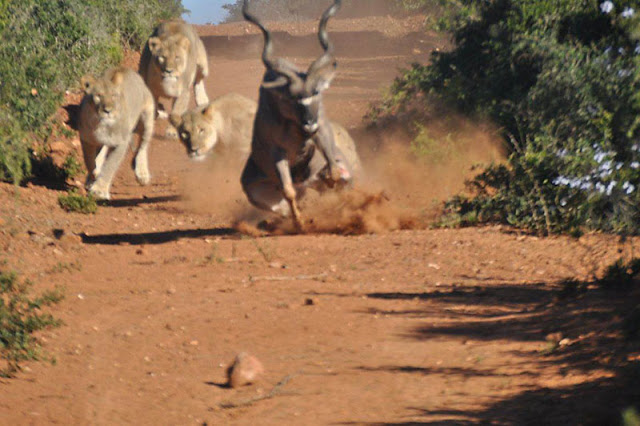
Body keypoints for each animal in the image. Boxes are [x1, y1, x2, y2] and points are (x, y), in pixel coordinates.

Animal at [78, 66, 155, 200]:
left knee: (143, 145)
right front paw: (93, 177)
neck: (101, 125)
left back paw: (142, 174)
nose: (108, 110)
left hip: (147, 118)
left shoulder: (121, 143)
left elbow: (110, 165)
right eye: (98, 96)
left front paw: (99, 190)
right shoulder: (86, 139)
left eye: (114, 95)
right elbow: (89, 162)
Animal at [240, 0, 360, 230]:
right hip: (256, 191)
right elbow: (288, 191)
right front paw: (301, 223)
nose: (309, 124)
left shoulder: (322, 133)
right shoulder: (278, 154)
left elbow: (334, 173)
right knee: (286, 201)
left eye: (316, 93)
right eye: (290, 98)